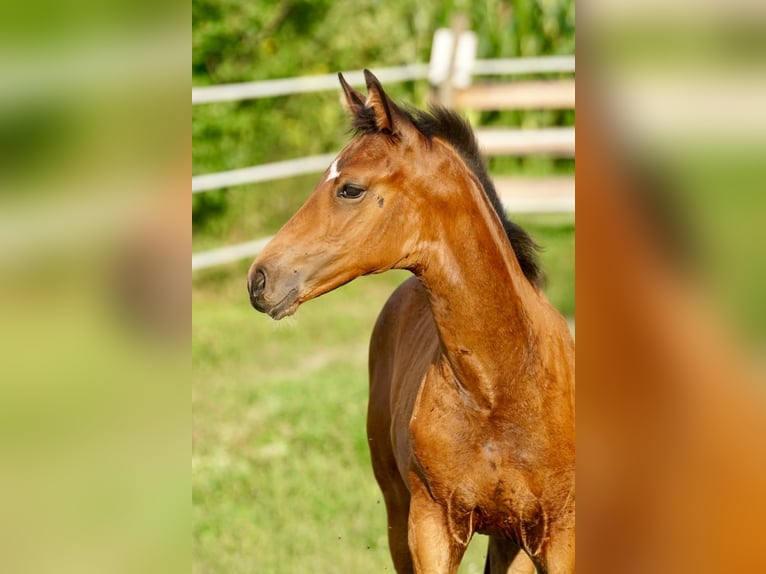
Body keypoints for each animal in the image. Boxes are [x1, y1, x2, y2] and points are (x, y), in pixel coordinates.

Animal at [247, 70, 575, 574]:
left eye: (350, 188)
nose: (259, 279)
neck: (500, 386)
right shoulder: (430, 526)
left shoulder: (555, 532)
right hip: (397, 511)